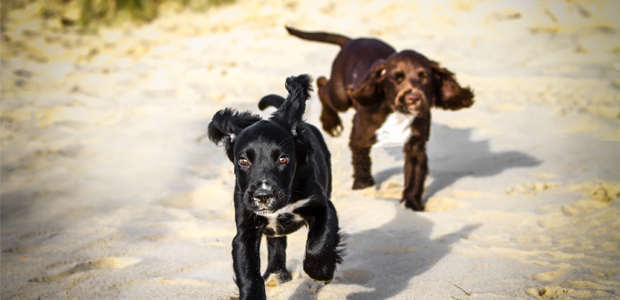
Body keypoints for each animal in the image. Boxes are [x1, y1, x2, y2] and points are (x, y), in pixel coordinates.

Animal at [207, 75, 344, 300]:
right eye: (243, 161)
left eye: (283, 159)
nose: (263, 196)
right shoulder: (245, 229)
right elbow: (248, 271)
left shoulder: (322, 205)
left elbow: (320, 242)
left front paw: (322, 272)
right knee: (276, 242)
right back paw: (276, 274)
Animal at [286, 27, 474, 211]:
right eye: (397, 78)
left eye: (424, 76)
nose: (413, 98)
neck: (397, 112)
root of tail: (352, 41)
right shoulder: (360, 135)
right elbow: (362, 162)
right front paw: (363, 186)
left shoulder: (416, 143)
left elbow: (415, 176)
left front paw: (412, 204)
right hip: (340, 96)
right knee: (322, 84)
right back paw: (331, 124)